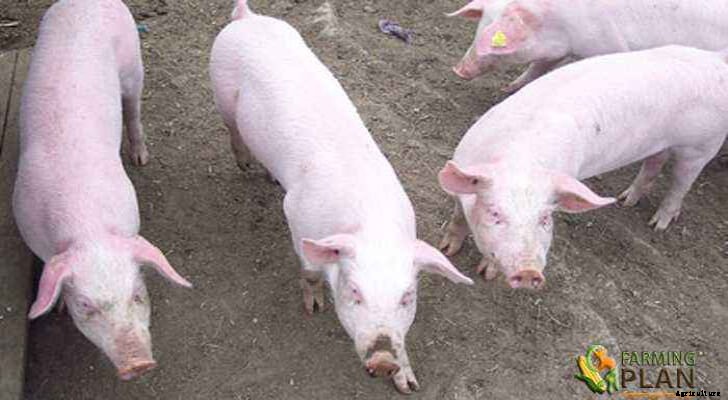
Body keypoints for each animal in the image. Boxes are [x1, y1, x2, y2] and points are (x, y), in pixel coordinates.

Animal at [12, 0, 192, 380]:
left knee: (133, 108)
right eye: (85, 305)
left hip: (133, 64)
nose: (138, 363)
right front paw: (58, 309)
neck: (87, 227)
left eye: (138, 294)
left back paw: (140, 157)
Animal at [210, 0, 473, 393]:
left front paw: (409, 385)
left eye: (407, 297)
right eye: (354, 292)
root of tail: (247, 18)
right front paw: (314, 308)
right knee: (232, 130)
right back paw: (244, 165)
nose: (383, 360)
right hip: (221, 90)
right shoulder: (296, 215)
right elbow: (309, 271)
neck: (371, 224)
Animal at [438, 45, 728, 289]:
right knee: (653, 164)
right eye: (495, 213)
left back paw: (657, 225)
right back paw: (626, 200)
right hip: (661, 145)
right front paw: (447, 249)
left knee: (680, 185)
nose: (530, 271)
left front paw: (487, 273)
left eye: (546, 219)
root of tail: (717, 60)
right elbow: (458, 218)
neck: (521, 161)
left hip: (701, 147)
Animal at [447, 0, 728, 92]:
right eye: (478, 29)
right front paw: (508, 89)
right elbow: (538, 67)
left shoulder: (607, 44)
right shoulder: (558, 50)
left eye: (497, 42)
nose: (458, 70)